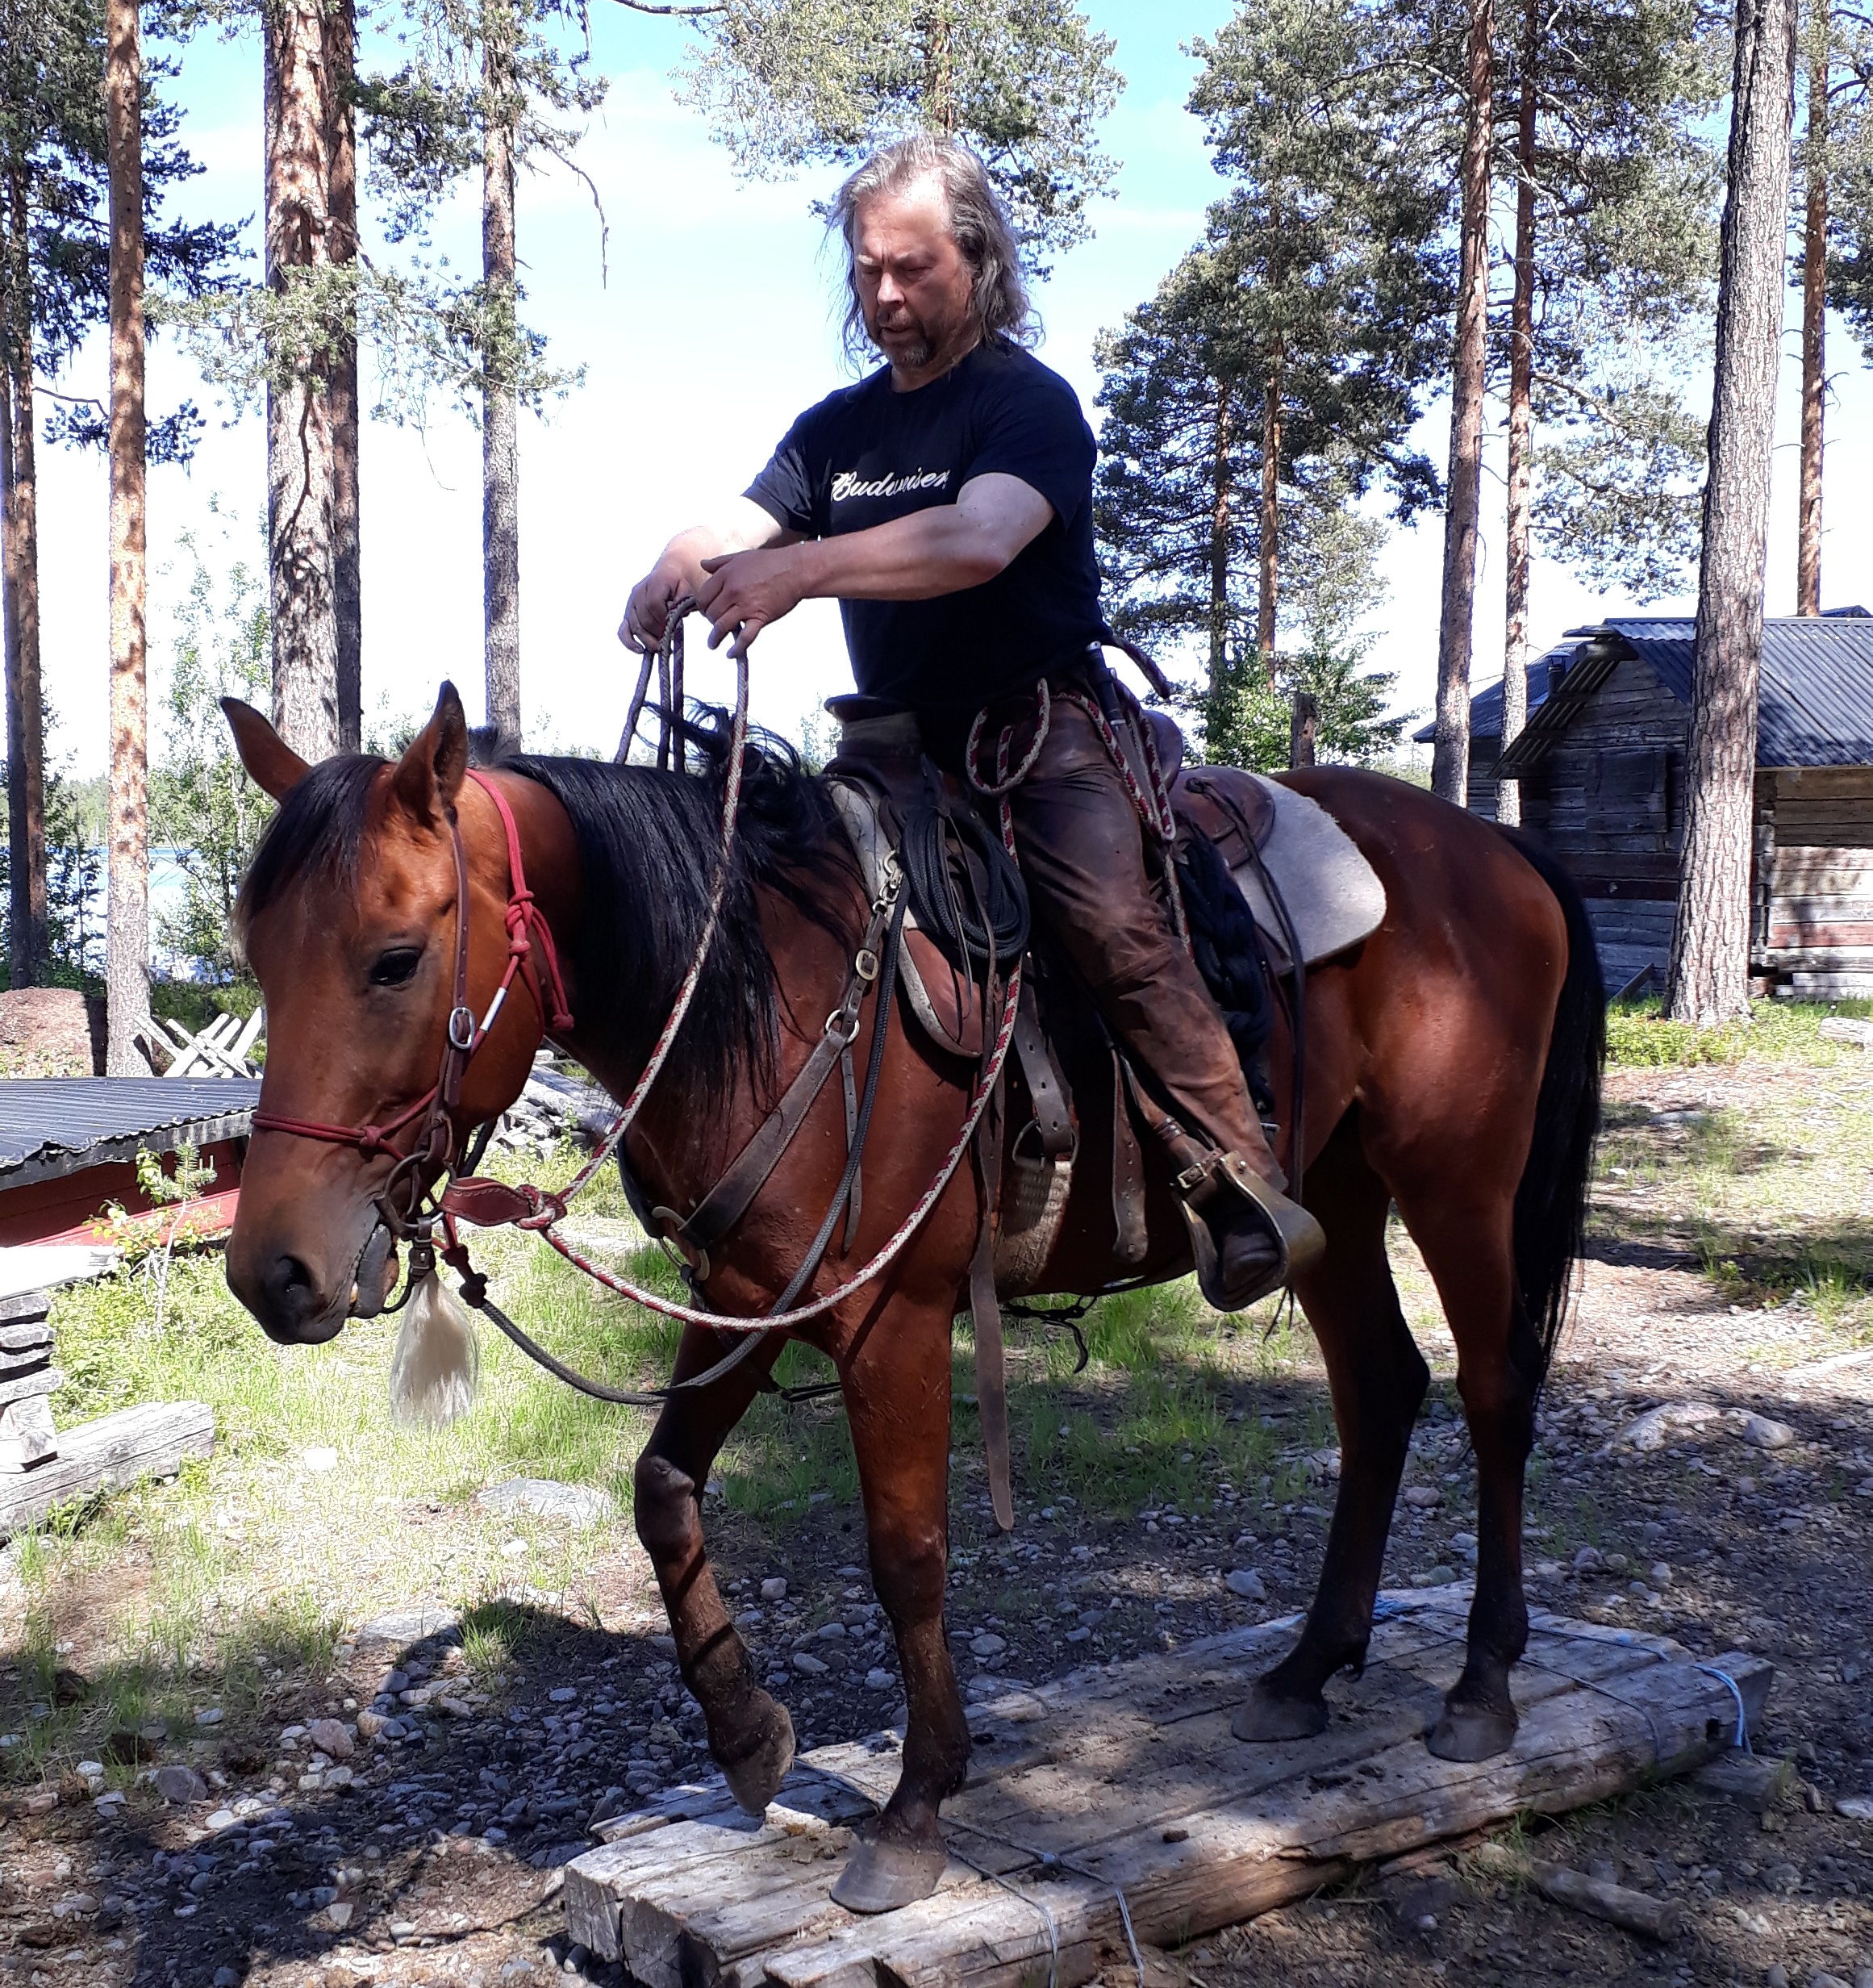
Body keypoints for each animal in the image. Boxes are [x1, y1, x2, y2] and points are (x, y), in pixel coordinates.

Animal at [219, 679, 1598, 1908]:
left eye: (395, 960)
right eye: (257, 959)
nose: (272, 1274)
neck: (764, 998)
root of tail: (1494, 847)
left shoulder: (895, 1325)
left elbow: (907, 1552)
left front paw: (917, 1806)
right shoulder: (747, 1301)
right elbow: (661, 1491)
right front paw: (746, 1734)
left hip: (1457, 1183)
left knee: (1491, 1396)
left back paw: (1480, 1686)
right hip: (1341, 1197)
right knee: (1381, 1392)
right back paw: (1308, 1670)